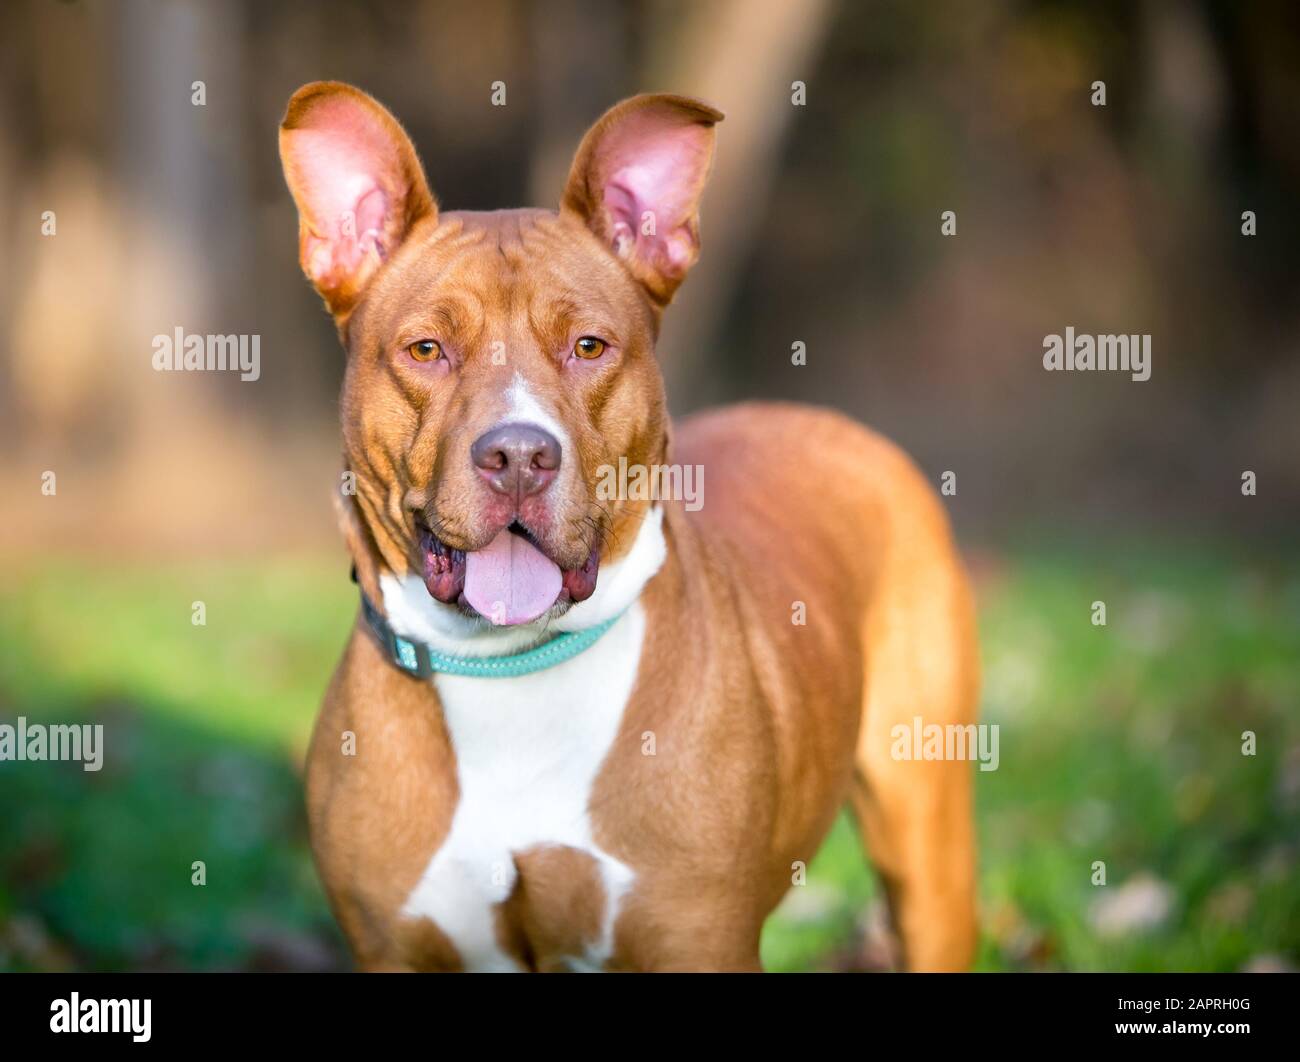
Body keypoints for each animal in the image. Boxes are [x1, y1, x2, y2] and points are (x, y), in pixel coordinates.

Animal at [279, 80, 977, 967]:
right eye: (427, 350)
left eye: (588, 346)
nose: (517, 454)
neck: (509, 669)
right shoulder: (392, 948)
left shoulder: (699, 940)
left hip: (926, 844)